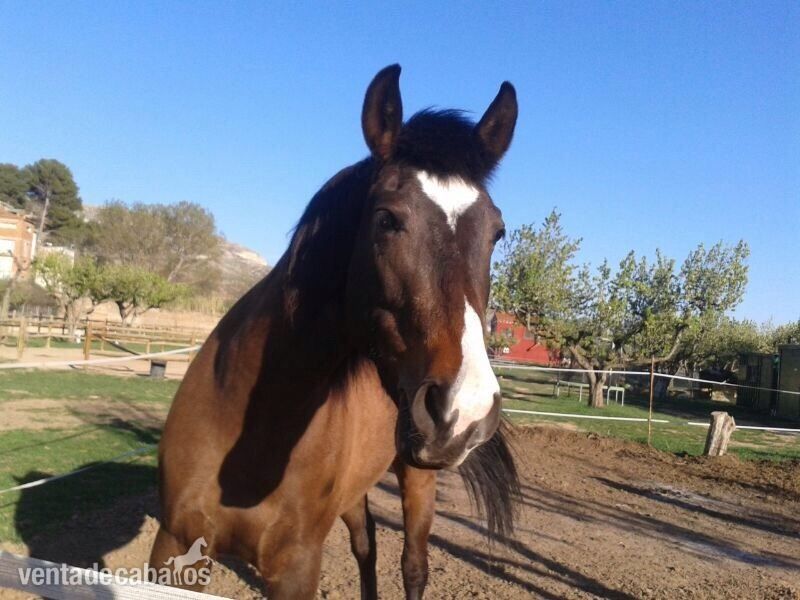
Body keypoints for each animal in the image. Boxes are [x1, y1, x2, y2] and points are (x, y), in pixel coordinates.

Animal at [150, 64, 521, 599]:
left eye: (497, 233)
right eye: (386, 218)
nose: (465, 411)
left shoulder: (296, 568)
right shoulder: (173, 545)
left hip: (417, 477)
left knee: (413, 564)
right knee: (367, 545)